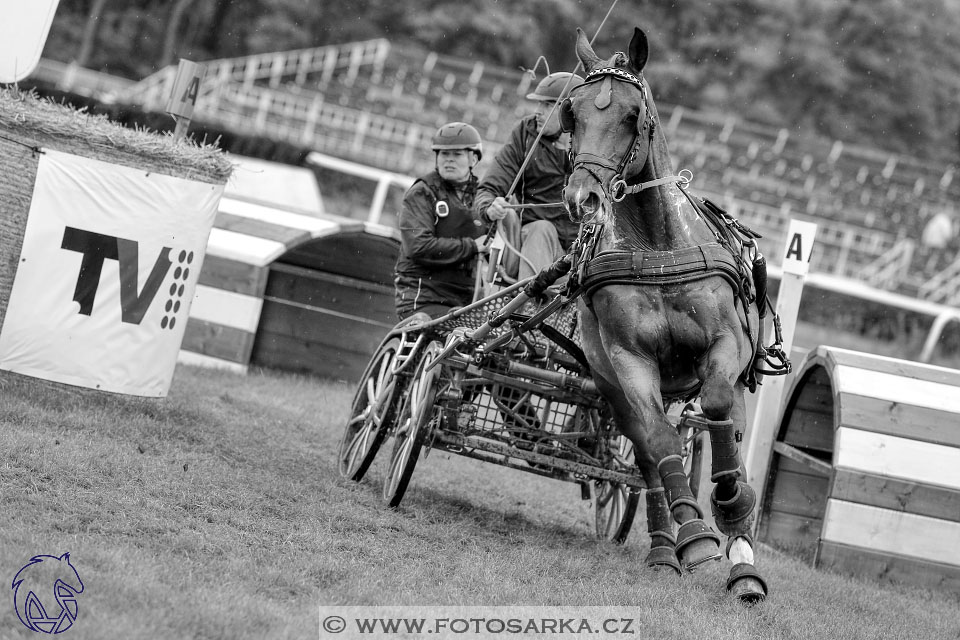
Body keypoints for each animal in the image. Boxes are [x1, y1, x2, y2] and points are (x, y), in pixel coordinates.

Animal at [564, 26, 772, 604]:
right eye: (572, 113)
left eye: (633, 115)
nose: (582, 199)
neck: (656, 247)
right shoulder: (629, 361)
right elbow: (659, 446)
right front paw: (693, 532)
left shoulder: (726, 346)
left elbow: (718, 412)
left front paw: (730, 500)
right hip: (613, 387)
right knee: (646, 457)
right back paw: (666, 549)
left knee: (727, 431)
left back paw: (743, 562)